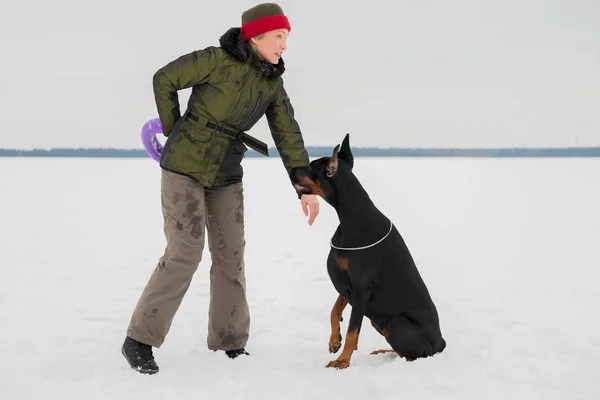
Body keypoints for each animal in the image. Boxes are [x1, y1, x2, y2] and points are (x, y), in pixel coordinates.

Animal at [290, 134, 446, 368]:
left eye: (310, 167)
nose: (291, 169)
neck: (352, 217)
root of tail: (441, 342)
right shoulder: (348, 285)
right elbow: (334, 310)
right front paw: (334, 340)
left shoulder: (361, 287)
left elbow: (353, 330)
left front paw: (342, 361)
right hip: (378, 321)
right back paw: (383, 350)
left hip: (397, 323)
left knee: (416, 355)